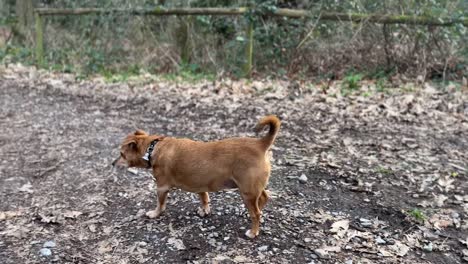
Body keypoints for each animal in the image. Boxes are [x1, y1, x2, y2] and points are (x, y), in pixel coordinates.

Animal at [112, 114, 282, 238]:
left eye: (121, 154)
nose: (113, 163)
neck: (153, 147)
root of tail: (260, 144)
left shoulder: (161, 187)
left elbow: (160, 204)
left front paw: (155, 213)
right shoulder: (201, 184)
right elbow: (204, 197)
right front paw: (204, 210)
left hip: (247, 192)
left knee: (256, 213)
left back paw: (253, 232)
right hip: (253, 189)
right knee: (263, 199)